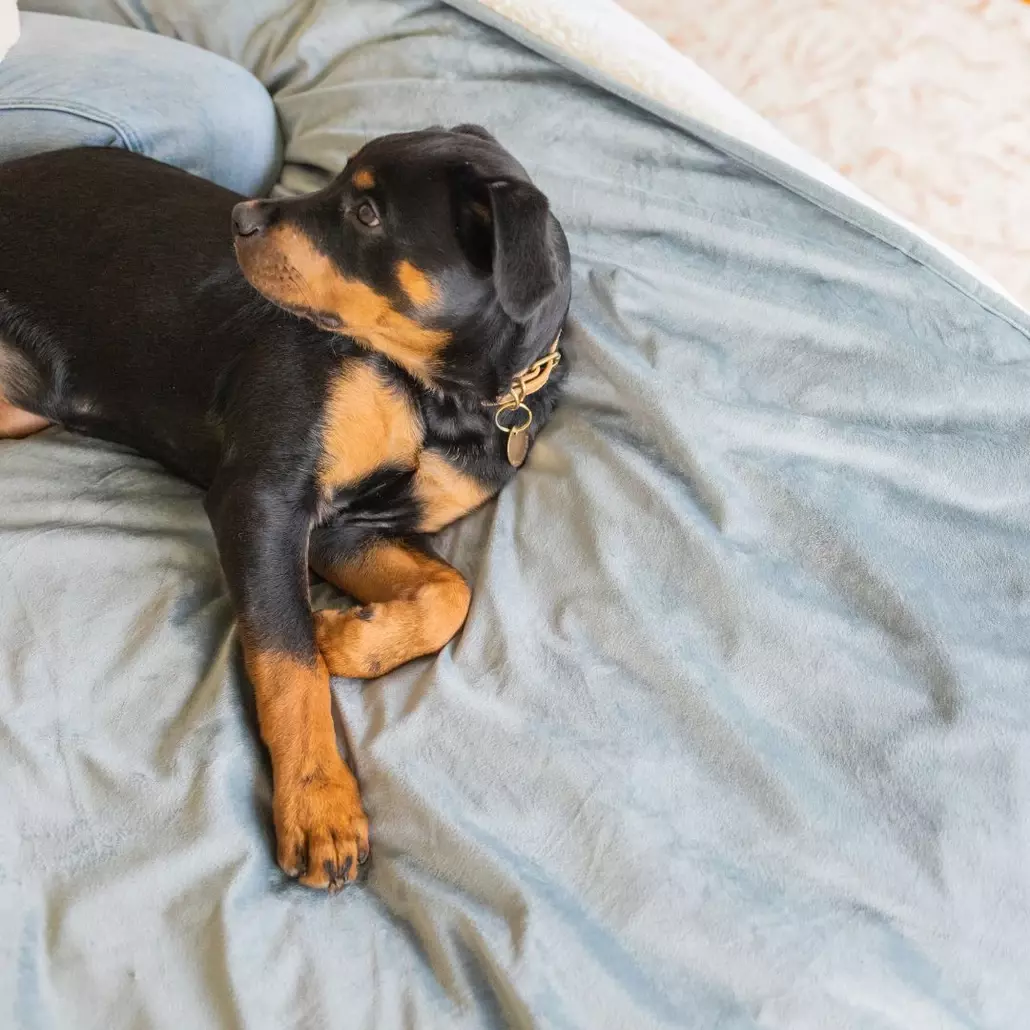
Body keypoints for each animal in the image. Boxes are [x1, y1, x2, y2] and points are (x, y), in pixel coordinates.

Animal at [0, 124, 572, 889]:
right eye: (338, 181)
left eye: (367, 215)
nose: (240, 219)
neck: (436, 398)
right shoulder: (265, 498)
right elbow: (286, 659)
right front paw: (319, 806)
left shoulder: (348, 528)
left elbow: (450, 591)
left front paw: (349, 638)